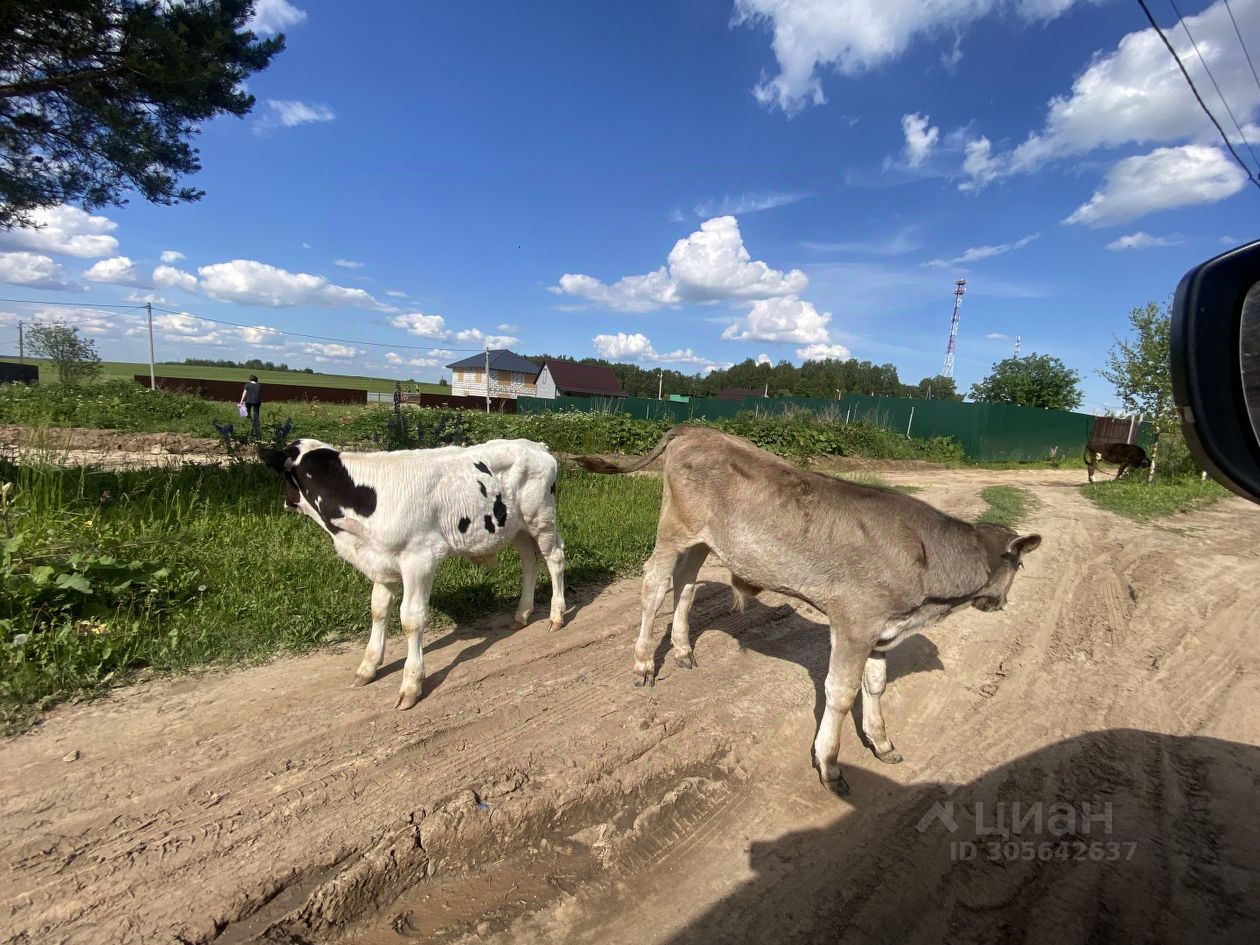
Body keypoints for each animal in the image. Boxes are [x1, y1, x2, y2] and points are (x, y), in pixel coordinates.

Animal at [260, 438, 566, 709]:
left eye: (284, 477)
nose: (284, 502)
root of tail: (535, 446)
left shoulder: (420, 559)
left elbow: (411, 620)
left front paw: (411, 684)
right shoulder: (381, 564)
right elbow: (378, 610)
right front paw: (368, 666)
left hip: (541, 519)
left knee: (555, 558)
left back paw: (556, 615)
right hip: (517, 527)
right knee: (529, 560)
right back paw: (522, 613)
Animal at [575, 426, 1041, 796]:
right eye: (1019, 566)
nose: (1002, 603)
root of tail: (696, 429)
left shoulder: (882, 631)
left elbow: (875, 686)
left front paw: (881, 742)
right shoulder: (855, 623)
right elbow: (841, 694)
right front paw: (830, 765)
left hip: (705, 540)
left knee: (686, 584)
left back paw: (683, 650)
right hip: (674, 528)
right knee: (655, 583)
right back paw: (643, 664)